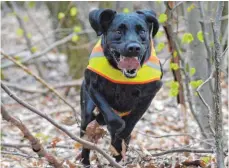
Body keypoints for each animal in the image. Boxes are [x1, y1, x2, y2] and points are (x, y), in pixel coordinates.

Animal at [80, 8, 163, 165]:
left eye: (142, 31)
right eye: (118, 31)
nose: (134, 47)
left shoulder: (149, 95)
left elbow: (133, 120)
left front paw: (122, 135)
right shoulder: (92, 87)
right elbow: (111, 116)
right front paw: (116, 126)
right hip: (86, 112)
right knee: (86, 135)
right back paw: (85, 161)